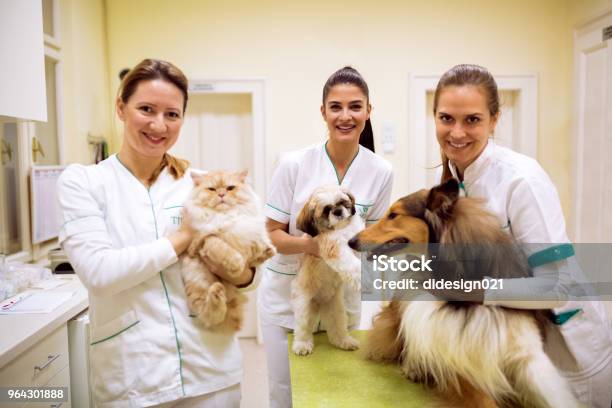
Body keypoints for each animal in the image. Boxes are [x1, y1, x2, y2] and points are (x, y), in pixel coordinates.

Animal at [182, 170, 274, 332]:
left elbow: (256, 249)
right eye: (212, 189)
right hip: (199, 282)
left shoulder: (248, 238)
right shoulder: (204, 240)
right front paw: (236, 265)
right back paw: (217, 292)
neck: (227, 217)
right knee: (210, 314)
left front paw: (267, 250)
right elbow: (225, 250)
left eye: (230, 188)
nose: (221, 194)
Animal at [290, 183, 364, 356]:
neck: (341, 229)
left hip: (335, 308)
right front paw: (360, 276)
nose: (337, 211)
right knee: (303, 329)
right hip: (304, 306)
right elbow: (351, 264)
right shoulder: (334, 246)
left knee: (337, 328)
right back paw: (302, 345)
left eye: (342, 202)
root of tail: (320, 301)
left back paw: (345, 341)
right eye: (326, 209)